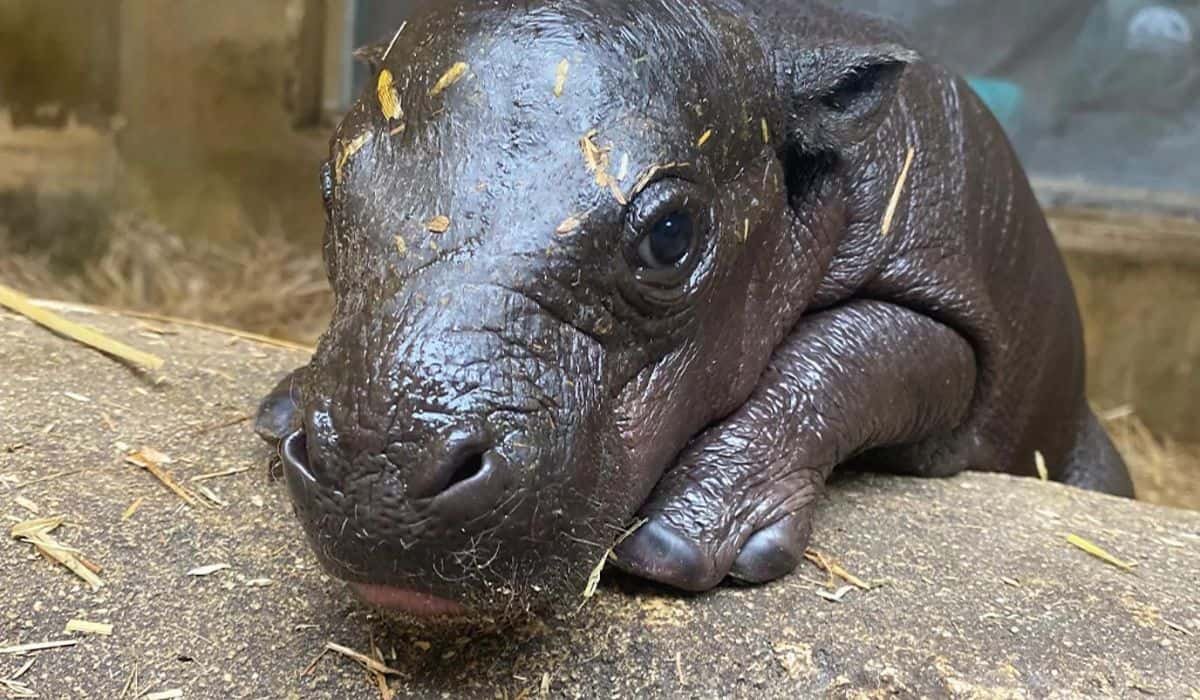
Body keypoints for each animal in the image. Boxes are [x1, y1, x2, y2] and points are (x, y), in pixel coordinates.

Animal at [256, 0, 1134, 618]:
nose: (378, 467)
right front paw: (282, 405)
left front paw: (675, 542)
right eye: (331, 185)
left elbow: (852, 350)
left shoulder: (943, 306)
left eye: (672, 234)